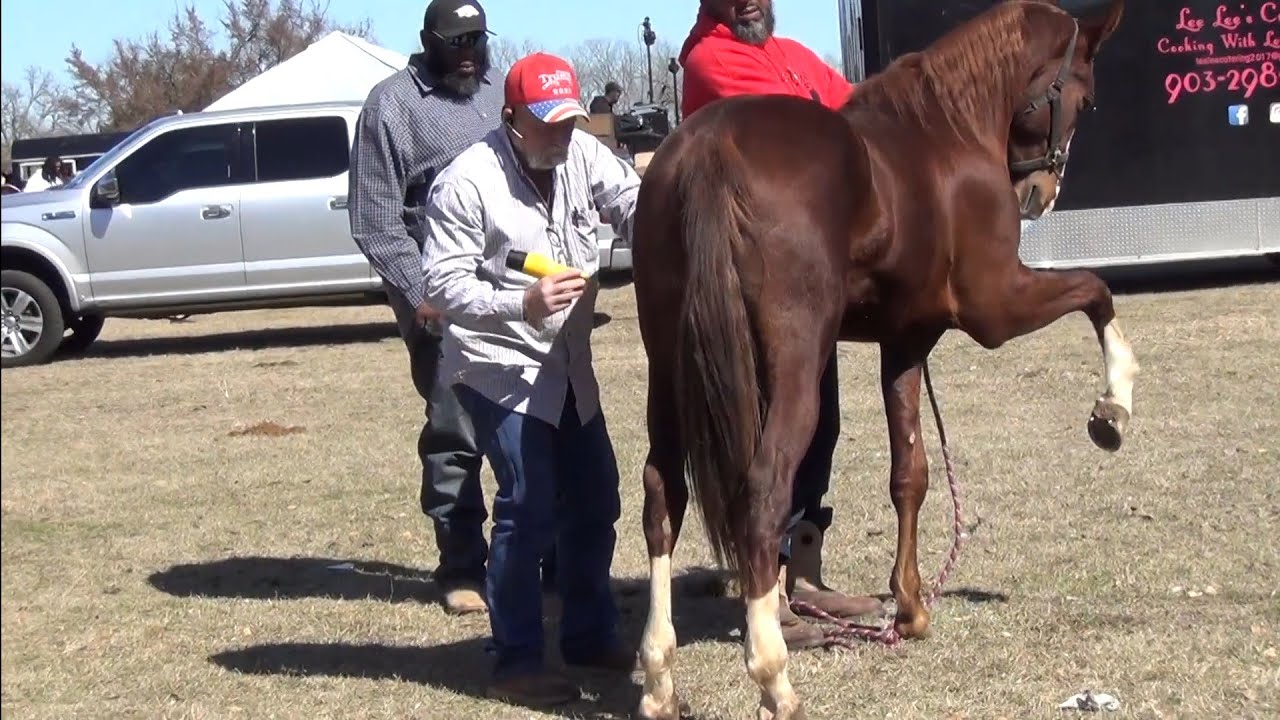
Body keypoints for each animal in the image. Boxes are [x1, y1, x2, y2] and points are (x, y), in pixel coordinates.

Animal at [628, 1, 1135, 718]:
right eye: (1084, 97)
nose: (1041, 190)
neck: (944, 134)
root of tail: (708, 150)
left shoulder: (907, 342)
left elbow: (910, 474)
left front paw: (912, 607)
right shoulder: (996, 306)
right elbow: (1096, 290)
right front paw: (1112, 405)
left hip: (668, 367)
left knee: (661, 496)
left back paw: (659, 676)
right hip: (793, 368)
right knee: (764, 492)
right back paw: (773, 673)